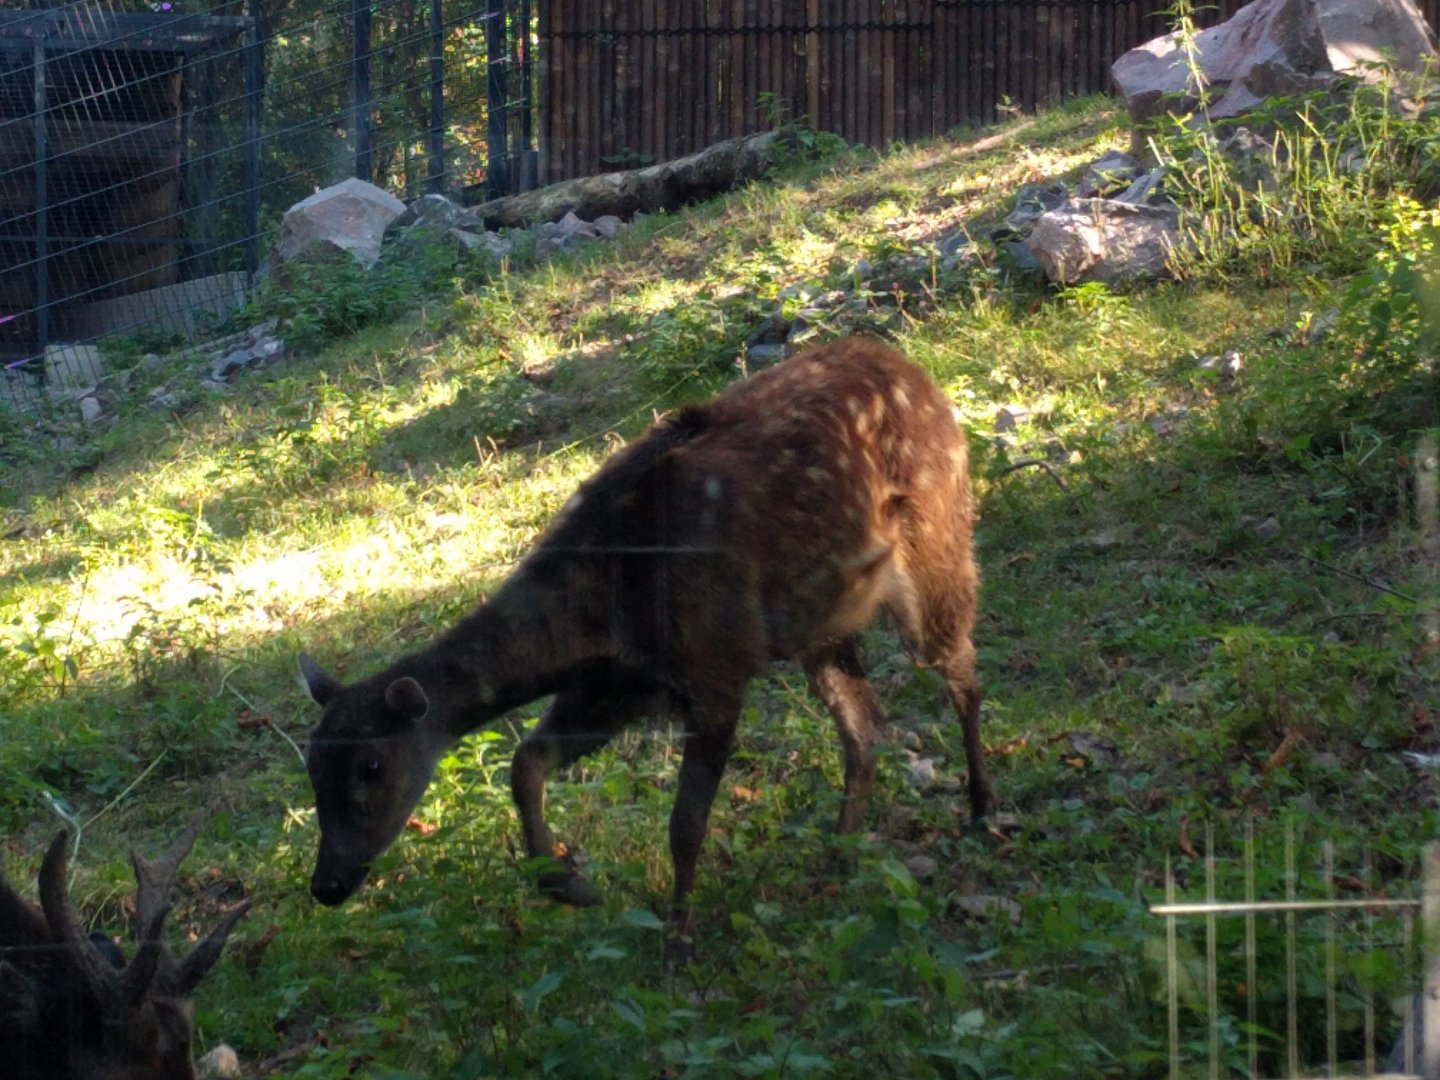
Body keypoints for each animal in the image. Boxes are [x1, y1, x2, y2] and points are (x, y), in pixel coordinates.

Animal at [299, 334, 991, 954]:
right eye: (310, 765)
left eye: (372, 766)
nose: (326, 885)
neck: (604, 609)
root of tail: (917, 372)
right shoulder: (620, 685)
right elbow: (526, 762)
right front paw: (569, 884)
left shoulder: (717, 660)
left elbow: (684, 825)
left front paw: (676, 943)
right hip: (819, 621)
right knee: (865, 724)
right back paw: (839, 860)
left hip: (938, 536)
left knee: (962, 668)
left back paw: (982, 810)